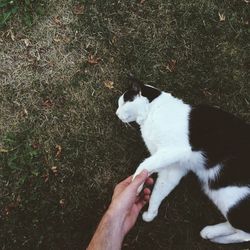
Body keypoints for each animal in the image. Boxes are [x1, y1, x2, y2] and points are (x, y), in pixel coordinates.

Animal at [115, 78, 250, 244]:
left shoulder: (176, 150)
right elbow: (158, 191)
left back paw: (212, 234)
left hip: (231, 198)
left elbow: (144, 165)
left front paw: (136, 186)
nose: (116, 113)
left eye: (123, 102)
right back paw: (211, 234)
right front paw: (151, 213)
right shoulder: (174, 168)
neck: (152, 113)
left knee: (244, 233)